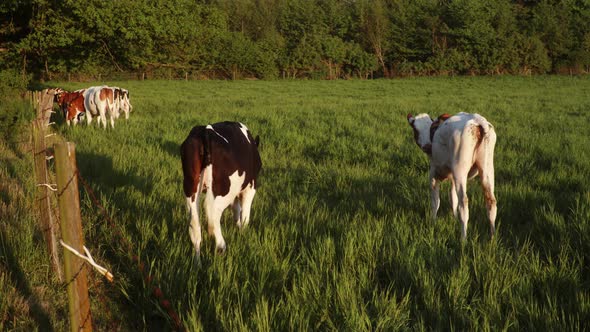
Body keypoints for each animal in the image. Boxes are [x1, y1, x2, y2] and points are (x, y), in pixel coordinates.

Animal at [182, 120, 262, 258]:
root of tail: (205, 130)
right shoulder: (250, 187)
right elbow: (245, 214)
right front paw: (243, 232)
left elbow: (236, 208)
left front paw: (237, 225)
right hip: (224, 191)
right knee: (213, 214)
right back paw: (221, 246)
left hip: (190, 187)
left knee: (195, 227)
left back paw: (197, 262)